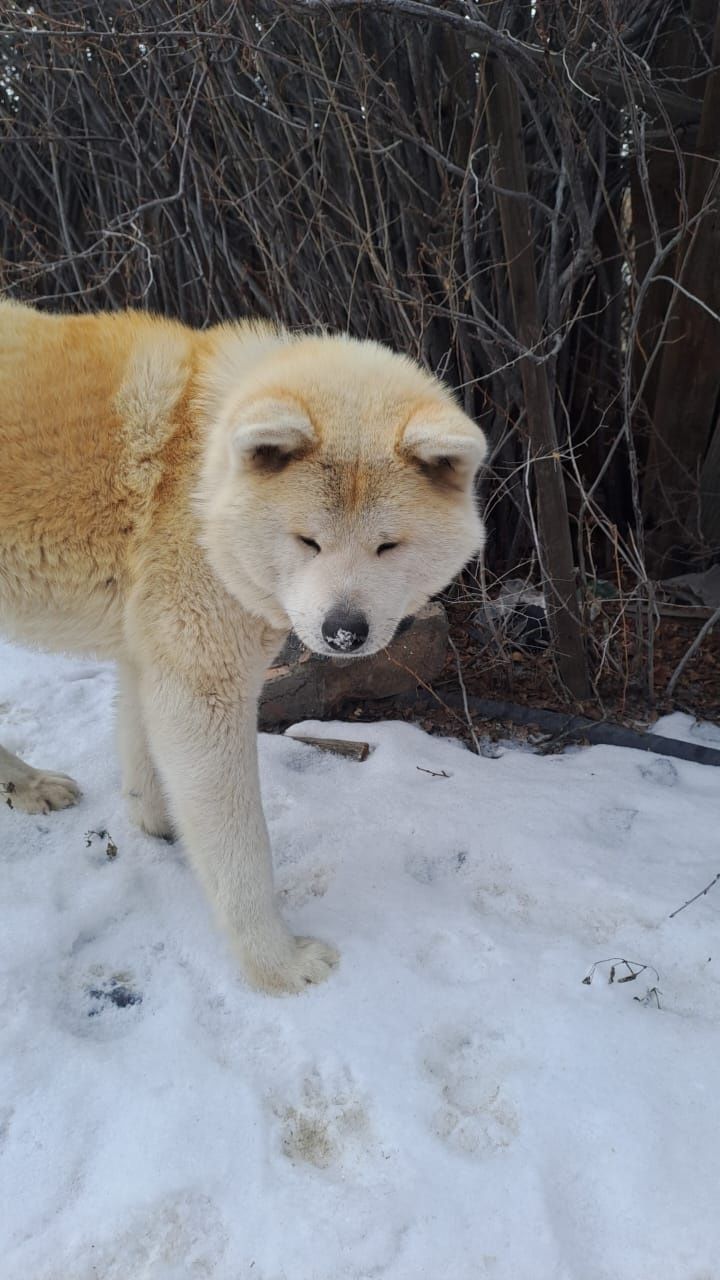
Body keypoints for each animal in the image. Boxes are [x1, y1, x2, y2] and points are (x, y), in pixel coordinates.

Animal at [1, 304, 481, 993]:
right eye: (307, 541)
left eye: (388, 546)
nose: (343, 631)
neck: (198, 475)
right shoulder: (202, 682)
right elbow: (241, 845)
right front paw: (275, 964)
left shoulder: (152, 653)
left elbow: (144, 758)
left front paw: (157, 823)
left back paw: (28, 784)